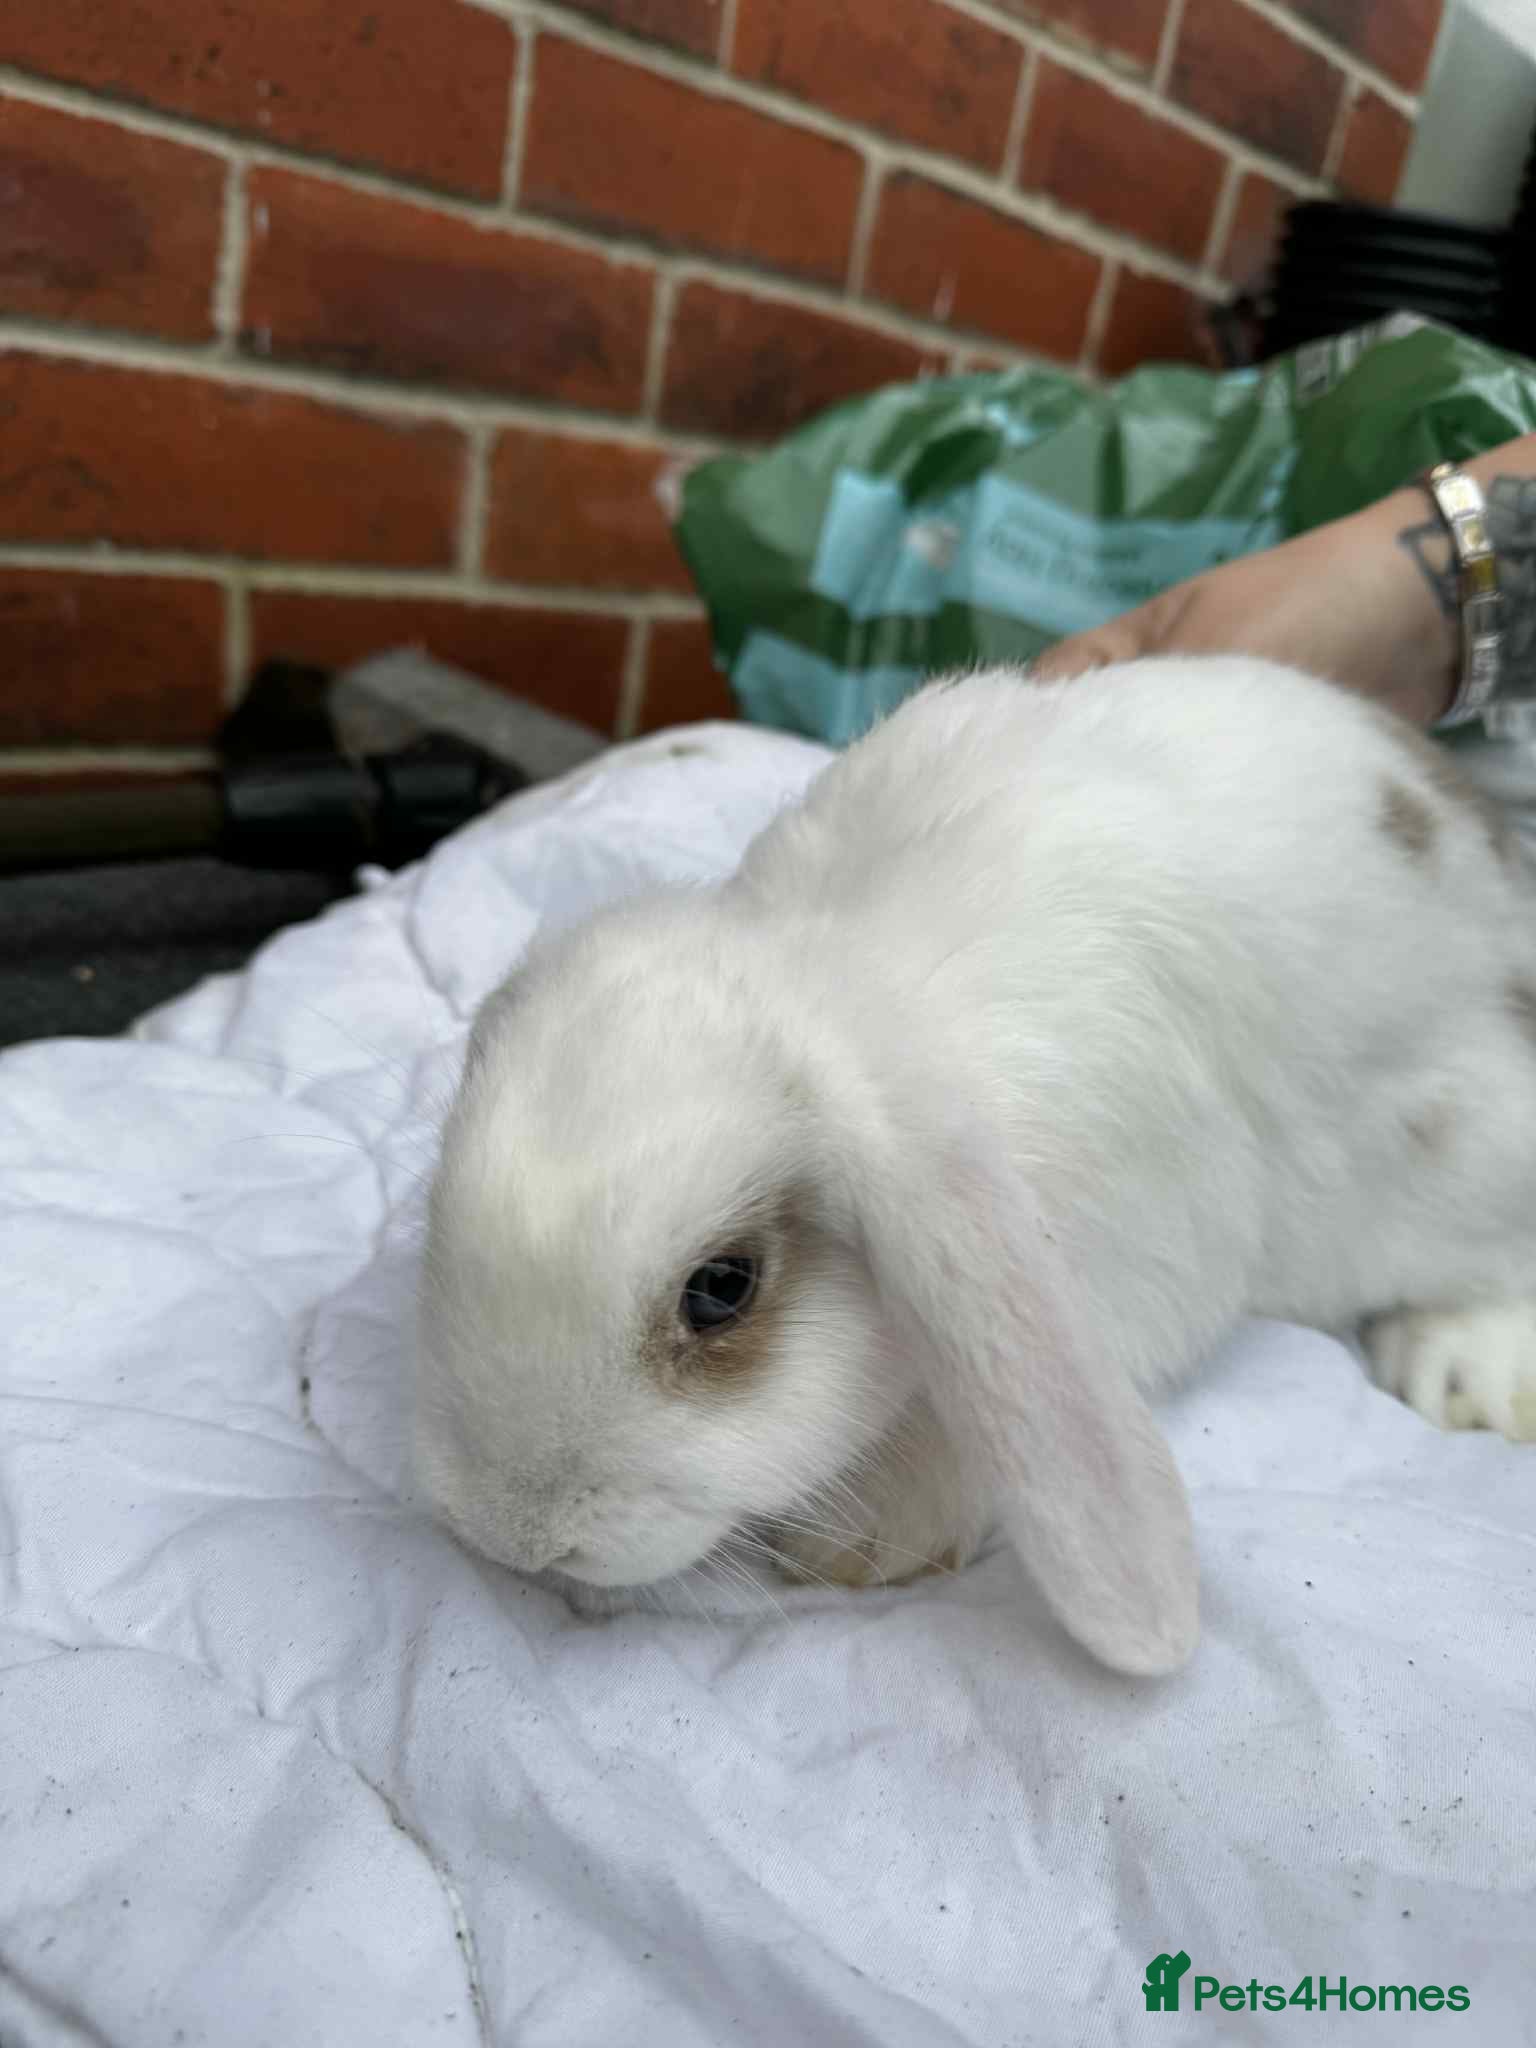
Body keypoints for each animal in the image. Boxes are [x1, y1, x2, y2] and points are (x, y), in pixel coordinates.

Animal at [413, 655, 1536, 1678]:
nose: (521, 1533)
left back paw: (1466, 1378)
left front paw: (865, 1541)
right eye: (437, 1218)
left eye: (722, 1288)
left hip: (1462, 1148)